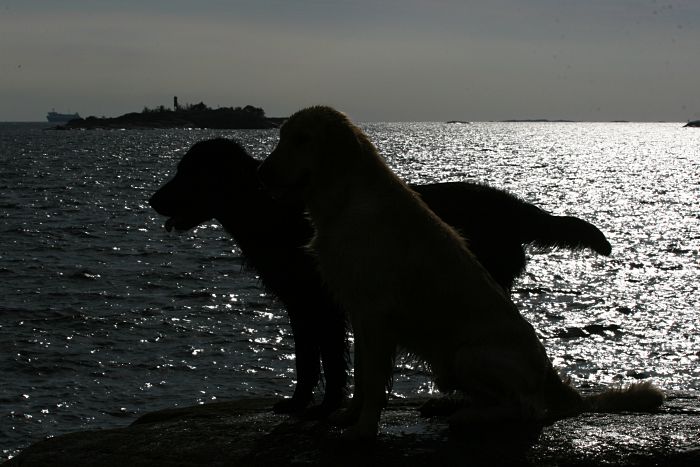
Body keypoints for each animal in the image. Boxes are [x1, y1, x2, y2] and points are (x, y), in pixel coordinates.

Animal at [149, 137, 611, 417]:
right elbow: (306, 362)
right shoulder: (301, 306)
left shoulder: (325, 307)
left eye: (188, 172)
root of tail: (511, 205)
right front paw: (298, 405)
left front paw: (325, 409)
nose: (152, 200)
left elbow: (331, 364)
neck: (269, 213)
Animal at [257, 106, 662, 440]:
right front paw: (347, 417)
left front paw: (363, 431)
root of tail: (549, 370)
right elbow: (361, 377)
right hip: (452, 366)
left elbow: (372, 382)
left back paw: (471, 417)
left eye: (303, 139)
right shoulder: (358, 313)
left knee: (530, 408)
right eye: (281, 136)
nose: (263, 171)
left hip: (467, 355)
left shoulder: (376, 314)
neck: (344, 200)